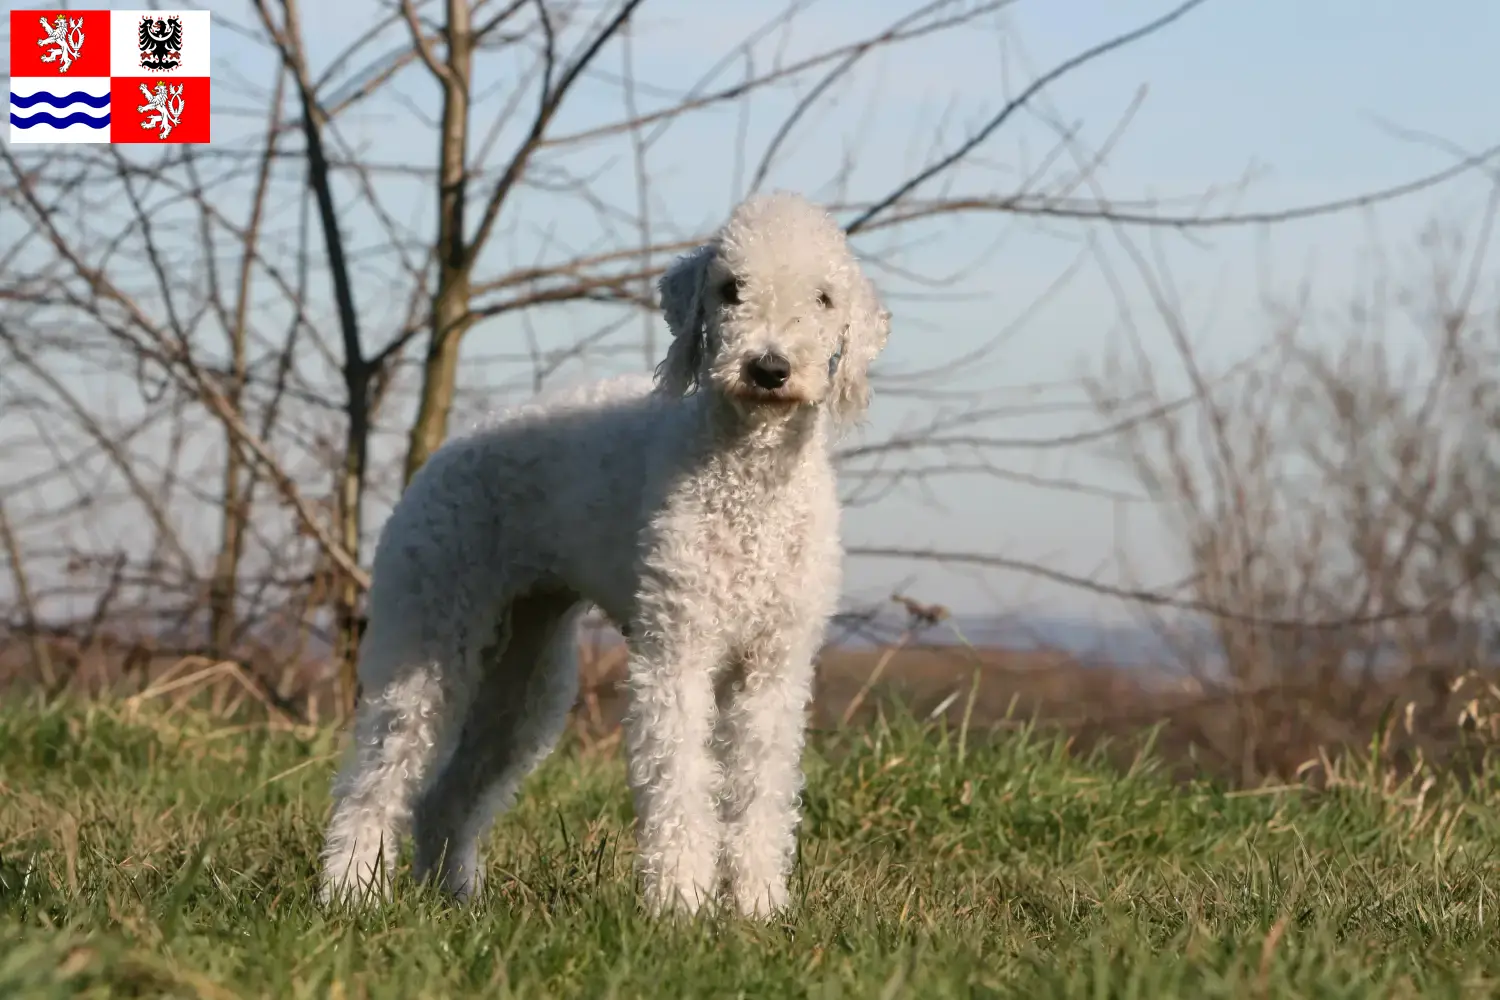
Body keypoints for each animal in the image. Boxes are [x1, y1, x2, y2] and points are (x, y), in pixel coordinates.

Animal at [313, 191, 876, 917]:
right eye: (731, 289)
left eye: (825, 298)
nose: (769, 369)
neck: (749, 479)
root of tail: (441, 458)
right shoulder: (676, 653)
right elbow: (680, 782)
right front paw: (681, 906)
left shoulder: (774, 667)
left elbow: (761, 795)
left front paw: (758, 908)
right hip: (429, 632)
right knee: (377, 778)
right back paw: (350, 891)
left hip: (525, 673)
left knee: (447, 797)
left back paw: (458, 900)